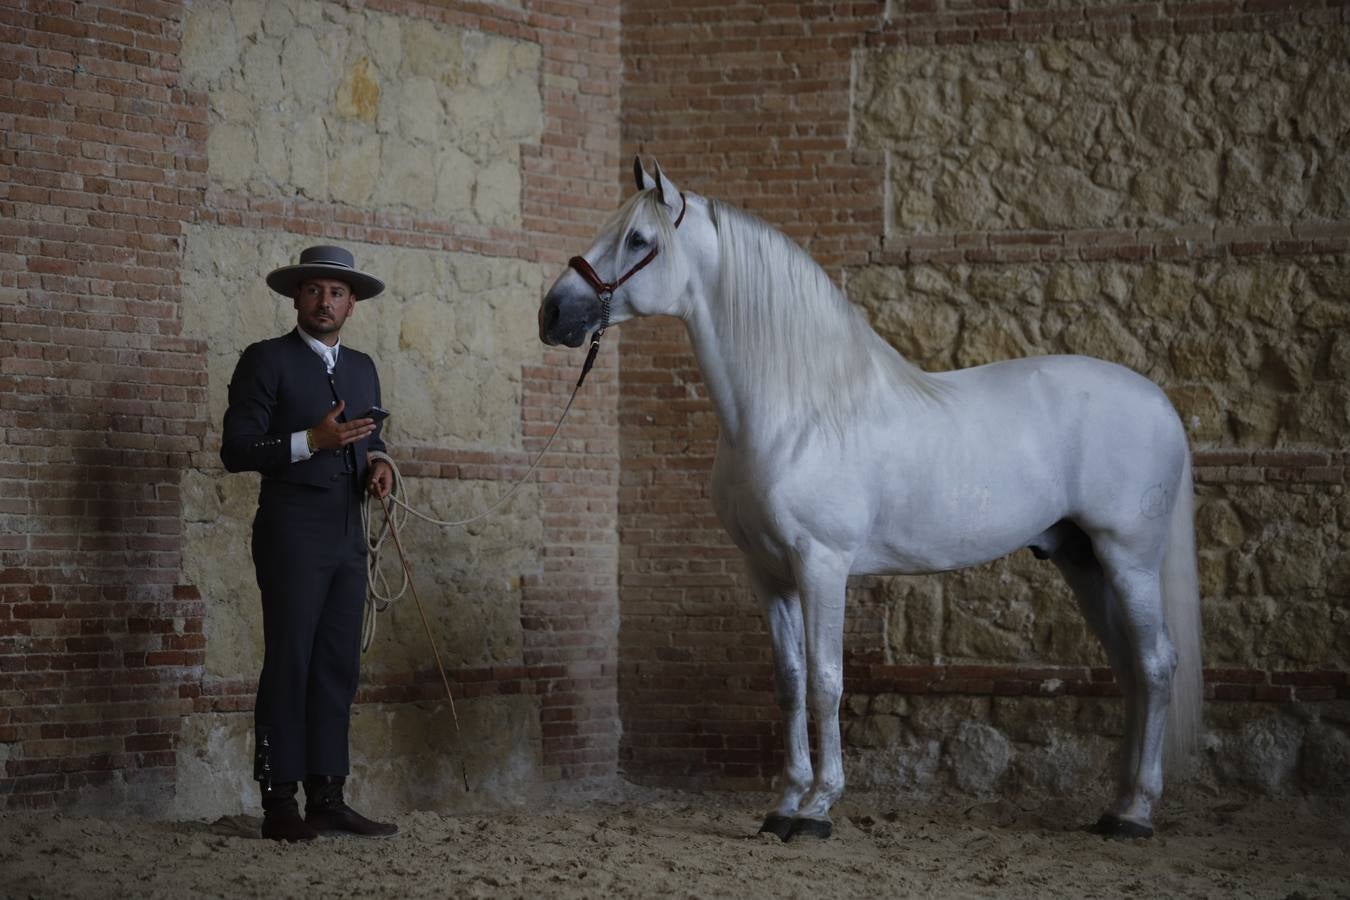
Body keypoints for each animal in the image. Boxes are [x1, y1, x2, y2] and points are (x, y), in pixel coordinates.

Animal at [537, 161, 1204, 847]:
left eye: (639, 240)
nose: (553, 312)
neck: (797, 410)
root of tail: (1158, 400)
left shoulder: (822, 565)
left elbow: (828, 683)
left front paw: (817, 808)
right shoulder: (767, 574)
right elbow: (790, 683)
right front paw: (785, 802)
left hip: (1129, 559)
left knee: (1156, 665)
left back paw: (1135, 814)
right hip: (1082, 561)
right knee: (1130, 670)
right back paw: (1117, 804)